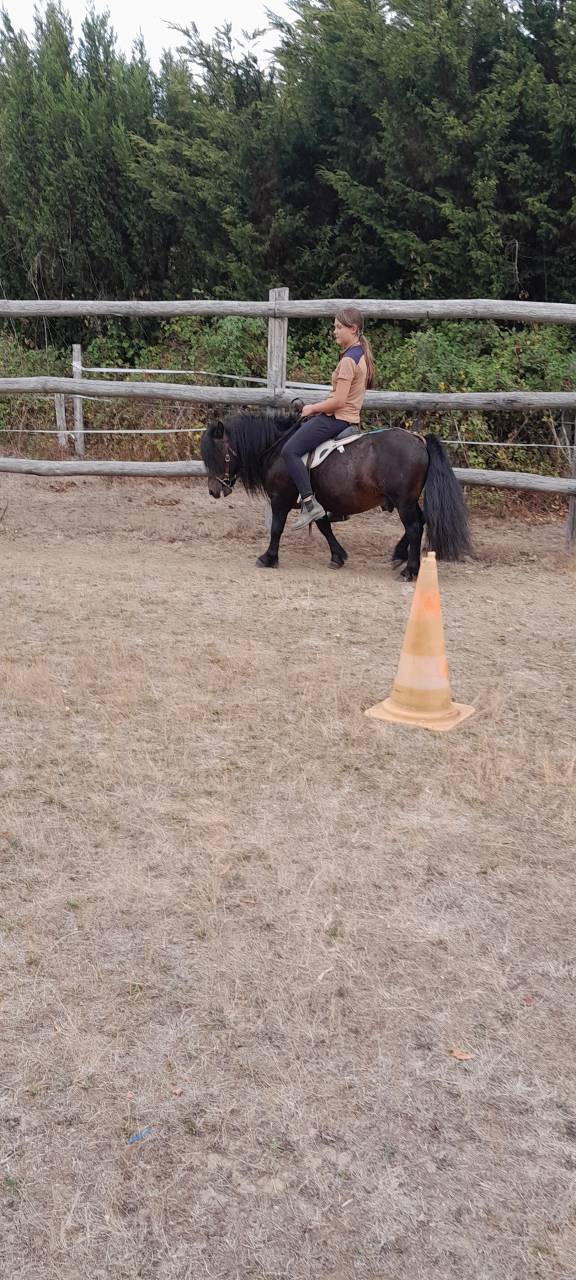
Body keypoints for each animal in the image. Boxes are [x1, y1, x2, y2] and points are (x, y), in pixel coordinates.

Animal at [200, 411, 470, 579]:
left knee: (414, 527)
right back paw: (398, 555)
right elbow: (324, 526)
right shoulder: (317, 500)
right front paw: (338, 556)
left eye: (218, 455)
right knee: (420, 522)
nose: (213, 490)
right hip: (408, 500)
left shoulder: (280, 499)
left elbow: (276, 529)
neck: (276, 447)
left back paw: (410, 571)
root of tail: (419, 440)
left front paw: (268, 557)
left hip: (404, 501)